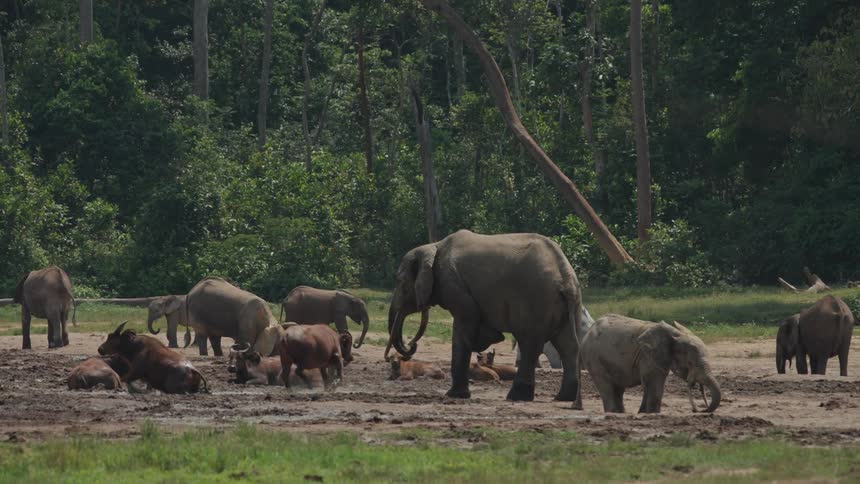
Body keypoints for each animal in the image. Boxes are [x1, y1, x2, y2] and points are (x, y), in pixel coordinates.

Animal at [386, 229, 584, 402]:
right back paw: (563, 397)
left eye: (399, 281)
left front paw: (455, 395)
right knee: (568, 345)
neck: (433, 247)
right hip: (568, 303)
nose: (412, 344)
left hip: (537, 301)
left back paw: (517, 397)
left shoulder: (454, 286)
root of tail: (565, 277)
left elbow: (465, 325)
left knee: (530, 343)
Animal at [580, 314, 721, 414]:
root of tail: (589, 330)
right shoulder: (647, 356)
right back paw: (613, 412)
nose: (697, 410)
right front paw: (652, 413)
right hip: (594, 359)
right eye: (690, 363)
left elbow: (653, 383)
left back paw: (620, 413)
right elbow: (653, 382)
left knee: (618, 388)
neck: (675, 334)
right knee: (606, 386)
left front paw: (644, 413)